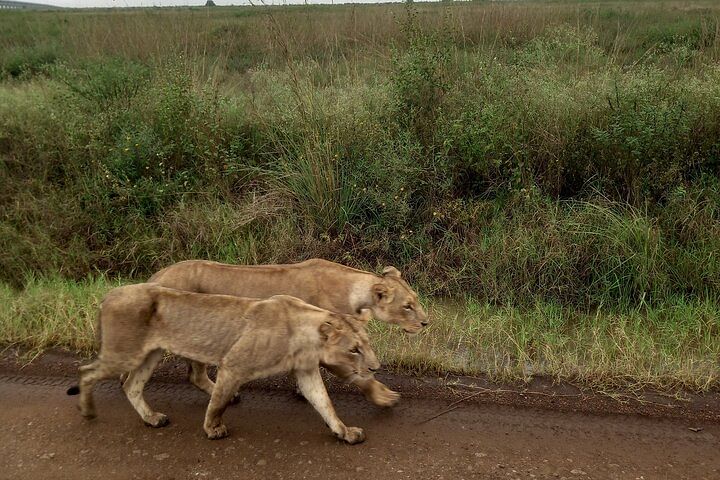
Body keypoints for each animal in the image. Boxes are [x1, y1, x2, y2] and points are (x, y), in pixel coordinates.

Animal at [67, 284, 376, 444]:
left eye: (368, 343)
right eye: (354, 349)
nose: (375, 368)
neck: (306, 332)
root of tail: (109, 294)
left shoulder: (306, 371)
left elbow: (325, 404)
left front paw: (344, 432)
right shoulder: (233, 365)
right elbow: (218, 402)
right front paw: (212, 429)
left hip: (149, 354)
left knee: (131, 385)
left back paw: (152, 418)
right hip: (123, 353)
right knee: (86, 371)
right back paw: (87, 410)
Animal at [148, 256, 428, 406]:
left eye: (416, 299)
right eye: (407, 306)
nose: (426, 323)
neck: (354, 291)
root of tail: (155, 277)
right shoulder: (330, 345)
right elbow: (358, 376)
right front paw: (383, 396)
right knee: (195, 375)